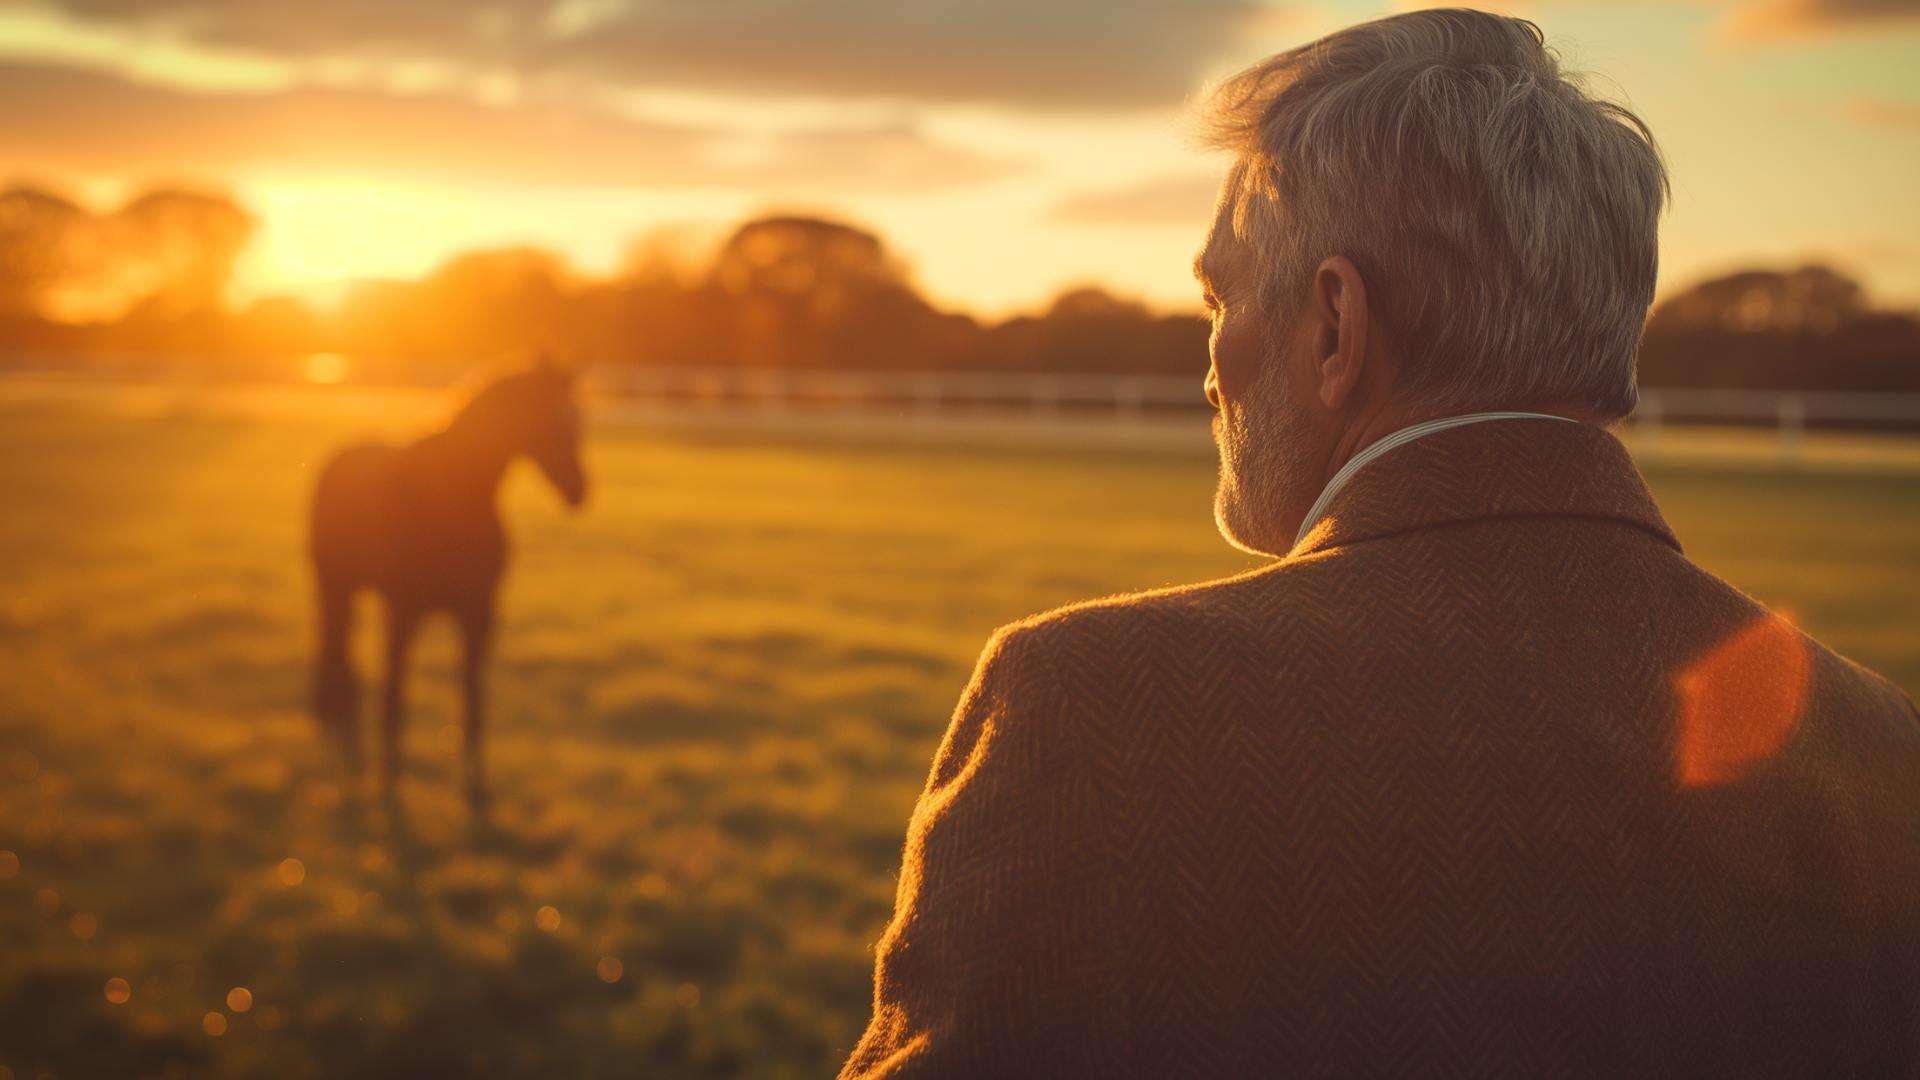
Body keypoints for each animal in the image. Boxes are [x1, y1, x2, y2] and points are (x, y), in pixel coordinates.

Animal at [309, 358, 587, 811]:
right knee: (338, 657)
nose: (579, 490)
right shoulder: (403, 615)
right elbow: (395, 697)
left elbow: (472, 698)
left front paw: (476, 784)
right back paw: (347, 744)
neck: (450, 500)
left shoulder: (478, 616)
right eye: (549, 416)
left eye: (577, 416)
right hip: (335, 591)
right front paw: (389, 785)